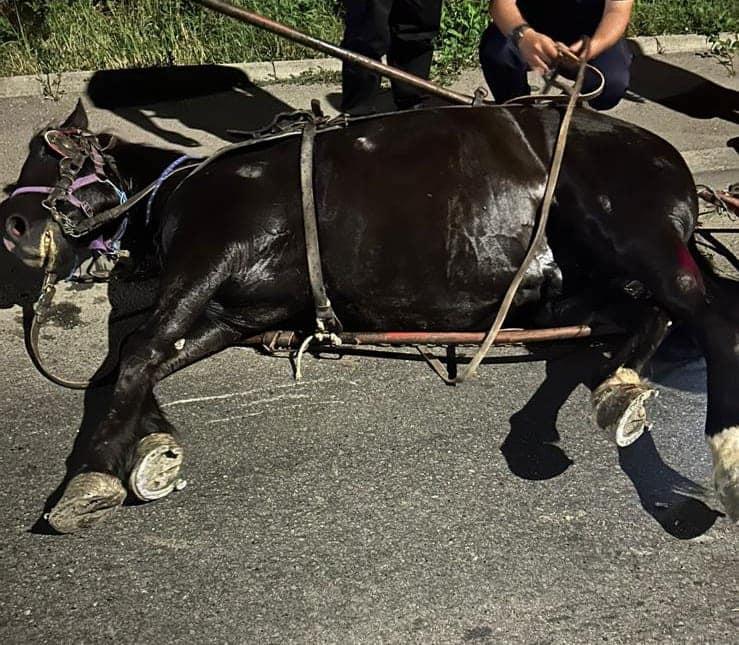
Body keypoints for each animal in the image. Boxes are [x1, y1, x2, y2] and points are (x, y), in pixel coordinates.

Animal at [1, 102, 739, 532]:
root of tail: (668, 158)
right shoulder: (229, 314)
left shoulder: (207, 262)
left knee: (707, 317)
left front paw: (94, 470)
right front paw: (149, 441)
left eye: (49, 149)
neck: (179, 186)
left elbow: (135, 348)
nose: (11, 224)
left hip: (629, 230)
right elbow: (145, 356)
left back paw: (722, 449)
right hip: (572, 285)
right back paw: (619, 386)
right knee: (656, 313)